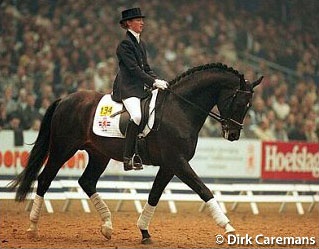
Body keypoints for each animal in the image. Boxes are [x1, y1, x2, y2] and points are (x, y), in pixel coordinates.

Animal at [10, 62, 262, 243]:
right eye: (239, 102)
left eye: (249, 105)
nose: (233, 134)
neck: (180, 109)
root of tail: (66, 99)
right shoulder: (178, 162)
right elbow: (204, 190)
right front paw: (228, 227)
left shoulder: (169, 165)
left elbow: (154, 195)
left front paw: (144, 232)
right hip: (63, 148)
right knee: (45, 179)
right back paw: (32, 228)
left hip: (99, 154)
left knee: (87, 181)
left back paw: (107, 226)